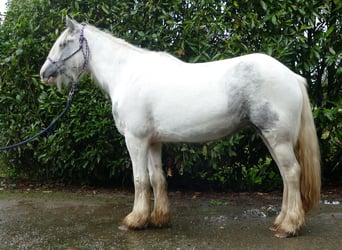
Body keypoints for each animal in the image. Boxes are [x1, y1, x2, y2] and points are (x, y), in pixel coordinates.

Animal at [40, 17, 320, 236]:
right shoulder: (153, 141)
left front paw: (135, 220)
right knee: (285, 175)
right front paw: (159, 219)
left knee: (292, 173)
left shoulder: (136, 140)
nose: (44, 73)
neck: (127, 74)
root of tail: (292, 76)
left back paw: (289, 226)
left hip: (278, 139)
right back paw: (281, 221)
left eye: (63, 43)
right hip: (269, 137)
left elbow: (140, 180)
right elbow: (157, 178)